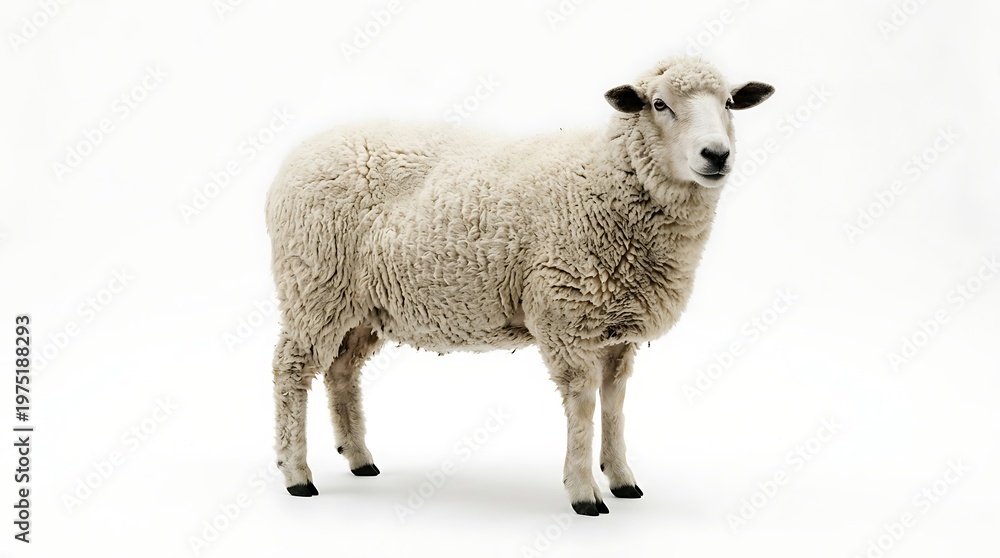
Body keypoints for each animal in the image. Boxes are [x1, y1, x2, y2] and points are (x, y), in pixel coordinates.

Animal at [266, 55, 774, 516]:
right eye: (658, 104)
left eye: (729, 103)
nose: (716, 155)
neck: (604, 181)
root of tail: (298, 154)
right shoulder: (566, 317)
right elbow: (583, 404)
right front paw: (583, 491)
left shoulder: (617, 329)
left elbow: (614, 402)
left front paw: (622, 478)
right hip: (313, 286)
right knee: (291, 371)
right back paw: (297, 474)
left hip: (360, 305)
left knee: (341, 371)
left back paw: (359, 458)